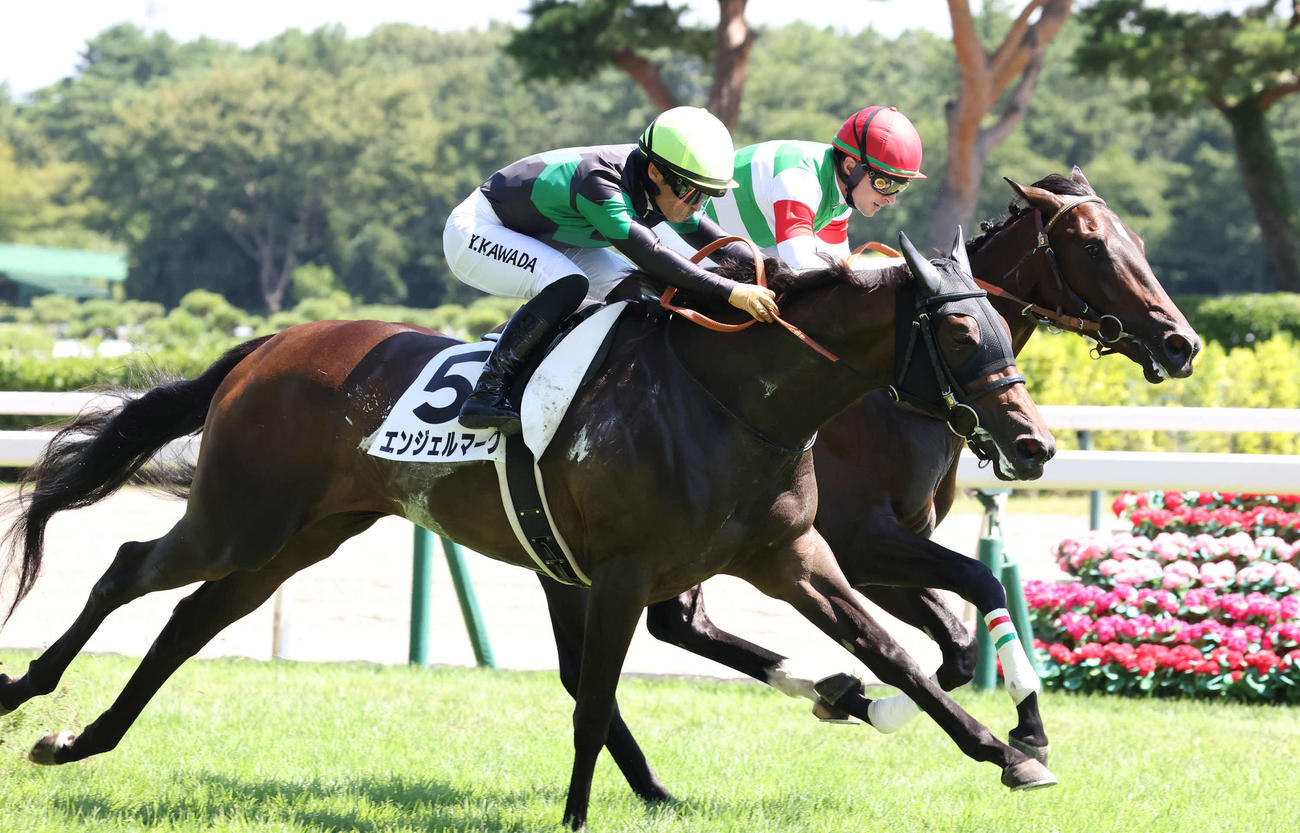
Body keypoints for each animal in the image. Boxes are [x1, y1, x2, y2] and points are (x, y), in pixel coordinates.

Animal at [0, 232, 1057, 829]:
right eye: (958, 335)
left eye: (1005, 331)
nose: (1034, 443)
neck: (733, 398)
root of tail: (270, 343)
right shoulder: (624, 571)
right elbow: (592, 701)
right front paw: (580, 815)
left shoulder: (793, 557)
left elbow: (899, 657)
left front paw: (1010, 752)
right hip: (239, 516)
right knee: (127, 568)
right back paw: (27, 693)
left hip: (300, 535)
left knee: (189, 623)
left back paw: (80, 740)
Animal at [535, 167, 1201, 793]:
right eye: (1093, 246)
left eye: (1139, 242)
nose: (1182, 344)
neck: (891, 397)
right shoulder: (858, 544)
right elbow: (974, 592)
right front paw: (1014, 730)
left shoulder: (869, 548)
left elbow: (958, 640)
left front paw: (924, 710)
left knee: (671, 625)